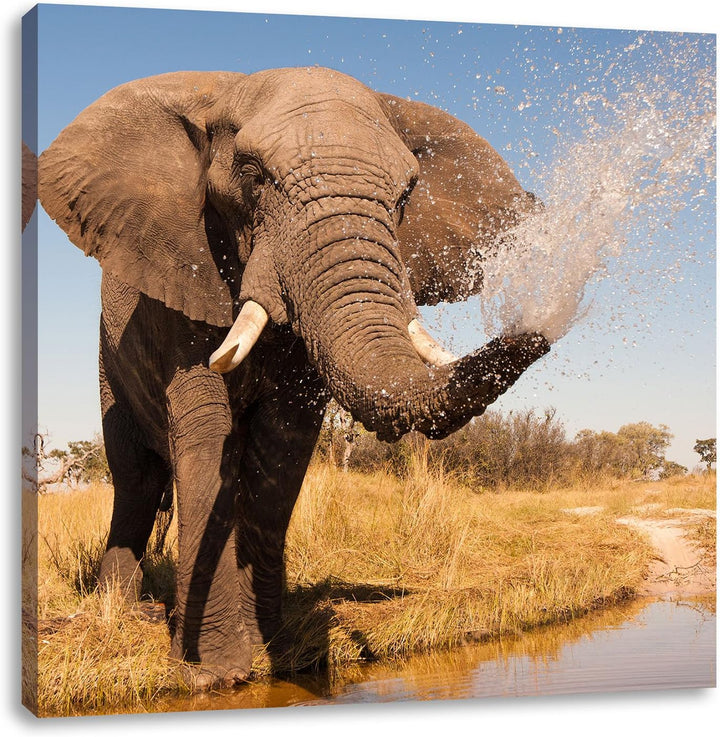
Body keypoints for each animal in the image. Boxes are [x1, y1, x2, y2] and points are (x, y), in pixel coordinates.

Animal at [38, 67, 550, 688]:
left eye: (406, 194)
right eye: (252, 176)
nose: (545, 319)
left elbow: (283, 445)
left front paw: (275, 651)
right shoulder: (183, 276)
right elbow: (207, 433)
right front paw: (214, 674)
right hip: (108, 361)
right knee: (134, 477)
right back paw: (120, 607)